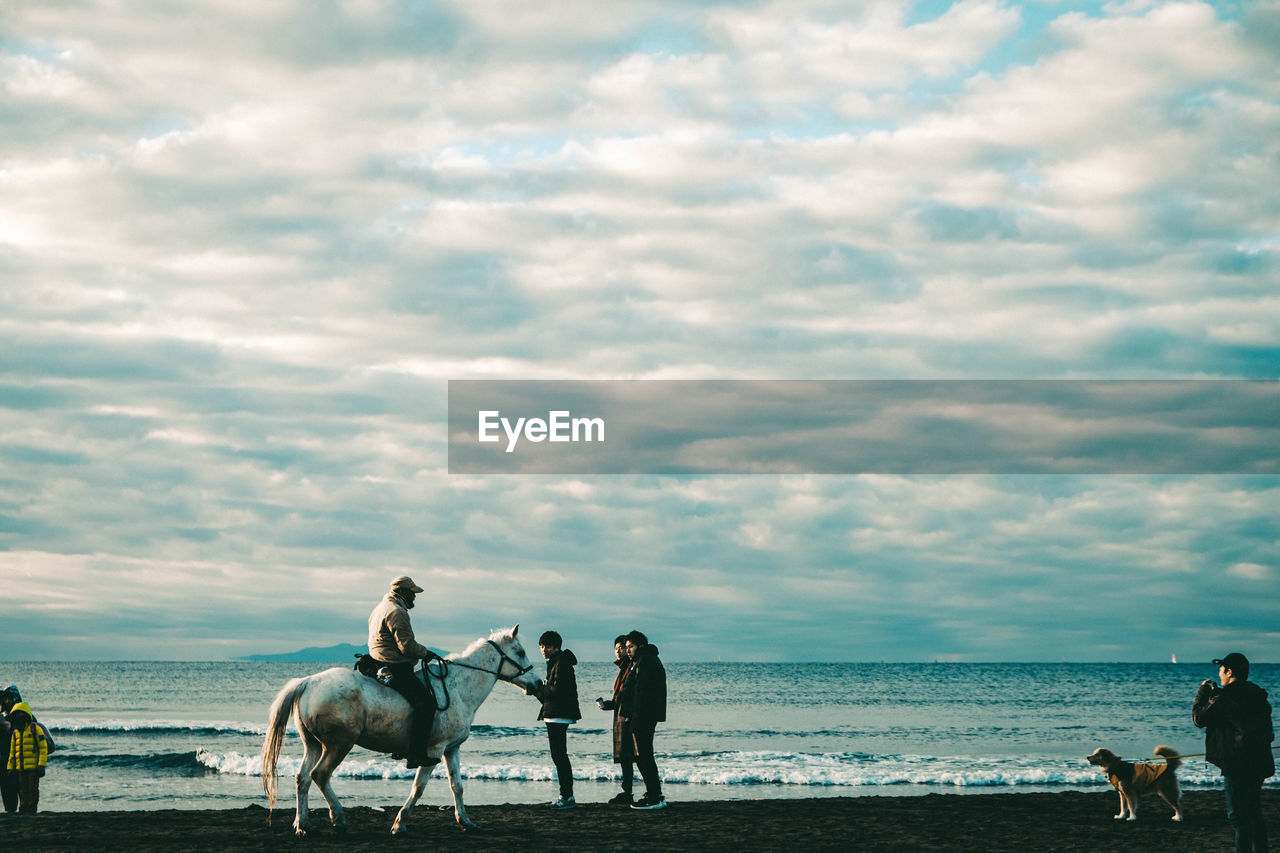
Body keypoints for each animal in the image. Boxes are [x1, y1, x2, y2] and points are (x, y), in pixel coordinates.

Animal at [259, 625, 540, 829]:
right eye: (520, 652)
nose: (538, 683)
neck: (458, 687)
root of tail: (308, 681)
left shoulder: (451, 749)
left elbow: (457, 786)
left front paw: (466, 822)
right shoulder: (433, 751)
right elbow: (418, 788)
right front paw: (400, 823)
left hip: (314, 745)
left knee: (303, 777)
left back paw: (302, 824)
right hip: (338, 745)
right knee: (320, 775)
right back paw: (338, 818)